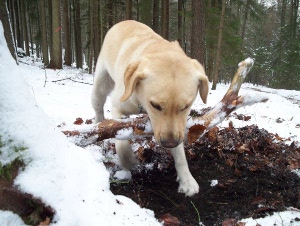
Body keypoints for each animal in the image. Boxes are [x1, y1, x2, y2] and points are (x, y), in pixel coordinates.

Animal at [92, 20, 209, 197]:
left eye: (185, 106)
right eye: (156, 105)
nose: (169, 144)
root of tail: (124, 21)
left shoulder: (177, 127)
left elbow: (180, 153)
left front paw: (186, 179)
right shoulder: (118, 106)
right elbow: (121, 141)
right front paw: (128, 160)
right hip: (100, 83)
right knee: (98, 107)